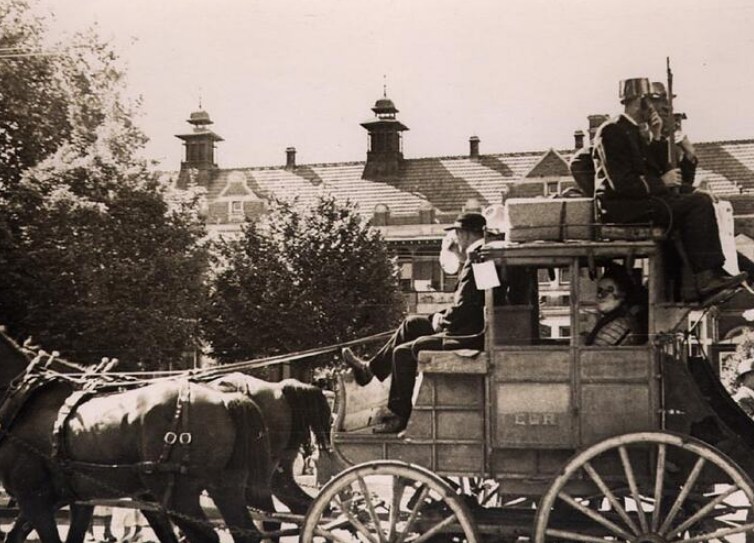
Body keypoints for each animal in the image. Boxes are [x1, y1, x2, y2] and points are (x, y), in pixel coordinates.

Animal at [0, 330, 272, 543]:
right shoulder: (76, 498)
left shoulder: (34, 498)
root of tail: (225, 399)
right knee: (245, 532)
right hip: (225, 486)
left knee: (206, 536)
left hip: (179, 494)